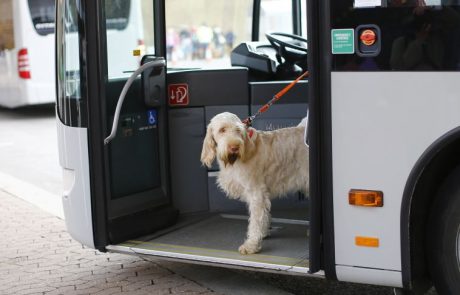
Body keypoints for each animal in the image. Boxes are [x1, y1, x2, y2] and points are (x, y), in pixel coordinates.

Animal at [200, 112, 310, 256]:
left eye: (238, 130)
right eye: (222, 130)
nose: (234, 148)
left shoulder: (256, 193)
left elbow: (255, 221)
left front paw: (251, 245)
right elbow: (263, 216)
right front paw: (263, 233)